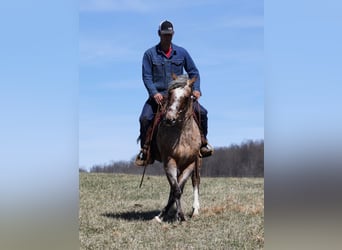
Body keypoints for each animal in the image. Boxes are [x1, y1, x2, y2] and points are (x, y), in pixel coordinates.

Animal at [154, 74, 202, 223]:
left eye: (186, 97)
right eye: (170, 93)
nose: (169, 119)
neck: (182, 134)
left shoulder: (190, 163)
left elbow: (180, 187)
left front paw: (179, 215)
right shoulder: (169, 161)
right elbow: (176, 189)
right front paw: (170, 215)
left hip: (197, 162)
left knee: (195, 181)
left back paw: (195, 210)